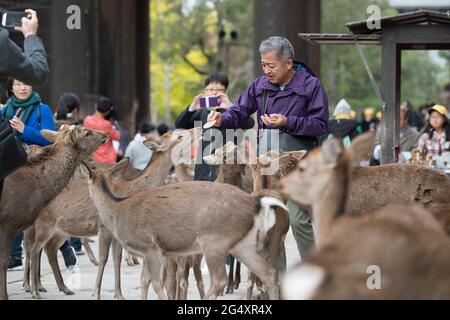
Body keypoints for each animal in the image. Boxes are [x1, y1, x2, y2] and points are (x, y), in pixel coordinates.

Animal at [81, 162, 288, 300]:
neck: (118, 212)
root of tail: (255, 203)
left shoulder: (149, 246)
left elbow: (157, 283)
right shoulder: (149, 252)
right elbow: (144, 281)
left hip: (215, 241)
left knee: (219, 279)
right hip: (241, 244)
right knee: (268, 272)